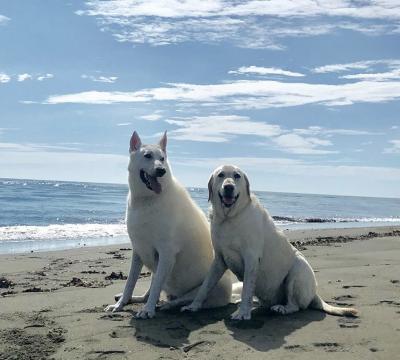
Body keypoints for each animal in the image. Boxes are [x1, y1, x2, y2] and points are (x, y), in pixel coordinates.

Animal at [104, 131, 233, 318]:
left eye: (162, 159)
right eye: (147, 156)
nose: (161, 170)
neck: (148, 199)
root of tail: (231, 294)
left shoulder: (166, 254)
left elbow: (156, 285)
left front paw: (148, 310)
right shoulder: (139, 252)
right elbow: (130, 282)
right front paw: (121, 304)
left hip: (203, 288)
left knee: (182, 299)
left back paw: (165, 306)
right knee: (152, 291)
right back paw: (137, 299)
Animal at [183, 165, 358, 320]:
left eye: (237, 176)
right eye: (221, 175)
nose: (228, 187)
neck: (230, 218)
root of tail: (315, 294)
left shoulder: (252, 259)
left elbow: (247, 288)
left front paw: (243, 313)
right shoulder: (219, 260)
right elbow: (205, 287)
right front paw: (193, 306)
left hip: (298, 271)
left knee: (295, 306)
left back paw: (281, 308)